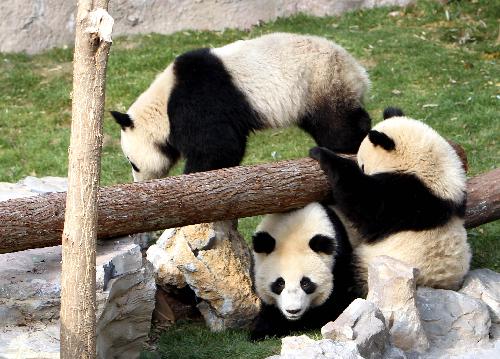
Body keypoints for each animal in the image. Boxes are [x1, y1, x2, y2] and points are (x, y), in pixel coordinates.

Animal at [112, 32, 372, 181]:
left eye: (132, 163)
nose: (140, 182)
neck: (161, 105)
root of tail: (359, 72)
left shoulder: (198, 102)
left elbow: (217, 146)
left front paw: (194, 172)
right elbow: (229, 147)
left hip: (320, 79)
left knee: (336, 124)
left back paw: (350, 141)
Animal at [310, 107, 470, 296]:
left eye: (363, 165)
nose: (363, 167)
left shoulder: (404, 197)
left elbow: (362, 199)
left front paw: (320, 152)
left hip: (375, 267)